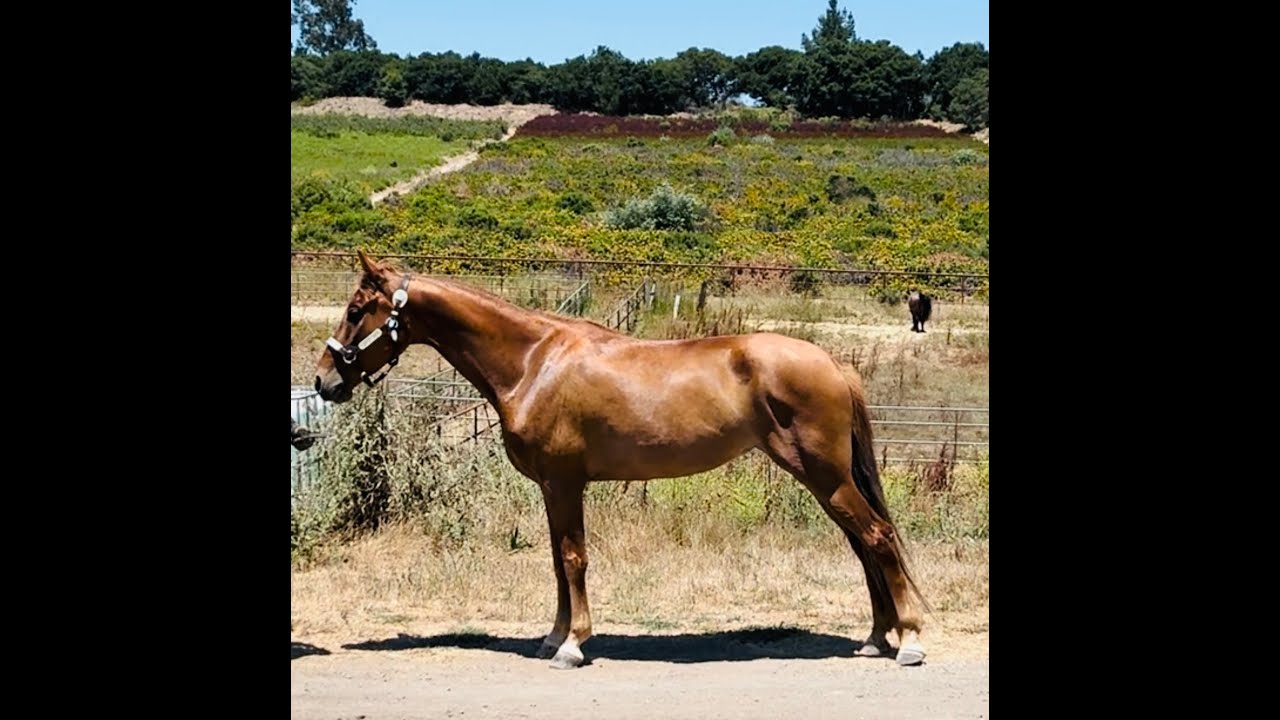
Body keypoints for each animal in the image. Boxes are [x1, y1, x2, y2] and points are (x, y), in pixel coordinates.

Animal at [313, 250, 930, 668]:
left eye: (355, 309)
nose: (323, 382)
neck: (534, 362)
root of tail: (833, 362)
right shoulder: (553, 487)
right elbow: (557, 562)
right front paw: (554, 637)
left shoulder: (564, 482)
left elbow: (573, 559)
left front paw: (573, 645)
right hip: (827, 479)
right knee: (864, 545)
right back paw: (877, 639)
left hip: (824, 475)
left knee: (876, 538)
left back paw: (908, 640)